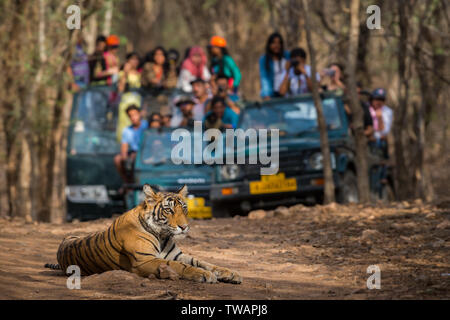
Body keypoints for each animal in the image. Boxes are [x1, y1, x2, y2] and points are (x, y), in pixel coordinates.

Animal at [44, 184, 243, 284]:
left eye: (184, 208)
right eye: (169, 210)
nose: (184, 227)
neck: (162, 235)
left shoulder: (177, 254)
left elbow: (204, 262)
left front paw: (230, 273)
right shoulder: (145, 260)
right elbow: (181, 267)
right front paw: (205, 275)